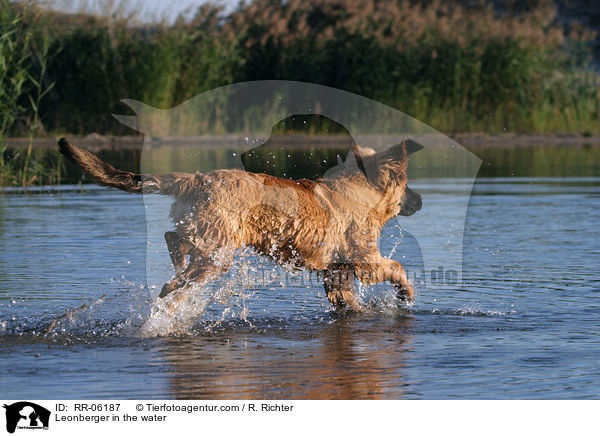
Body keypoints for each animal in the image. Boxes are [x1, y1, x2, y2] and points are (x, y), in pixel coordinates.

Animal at [57, 136, 422, 310]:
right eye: (406, 186)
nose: (420, 201)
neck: (360, 190)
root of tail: (199, 178)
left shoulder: (338, 275)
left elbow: (348, 302)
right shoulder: (365, 261)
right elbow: (397, 267)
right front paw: (405, 294)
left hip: (208, 237)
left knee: (173, 237)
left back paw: (176, 272)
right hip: (218, 250)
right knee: (179, 259)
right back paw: (174, 283)